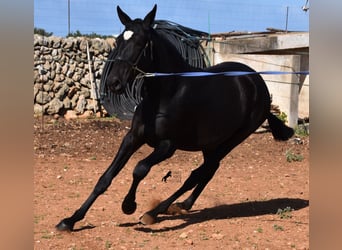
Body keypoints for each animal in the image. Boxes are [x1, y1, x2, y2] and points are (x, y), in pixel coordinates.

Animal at [56, 4, 294, 230]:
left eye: (141, 42)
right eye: (118, 40)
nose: (113, 83)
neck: (166, 93)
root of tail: (258, 84)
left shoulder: (168, 145)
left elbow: (139, 169)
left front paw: (129, 205)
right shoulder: (132, 137)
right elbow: (105, 177)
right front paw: (70, 220)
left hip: (232, 140)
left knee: (199, 173)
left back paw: (154, 212)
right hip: (211, 143)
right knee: (209, 171)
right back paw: (182, 205)